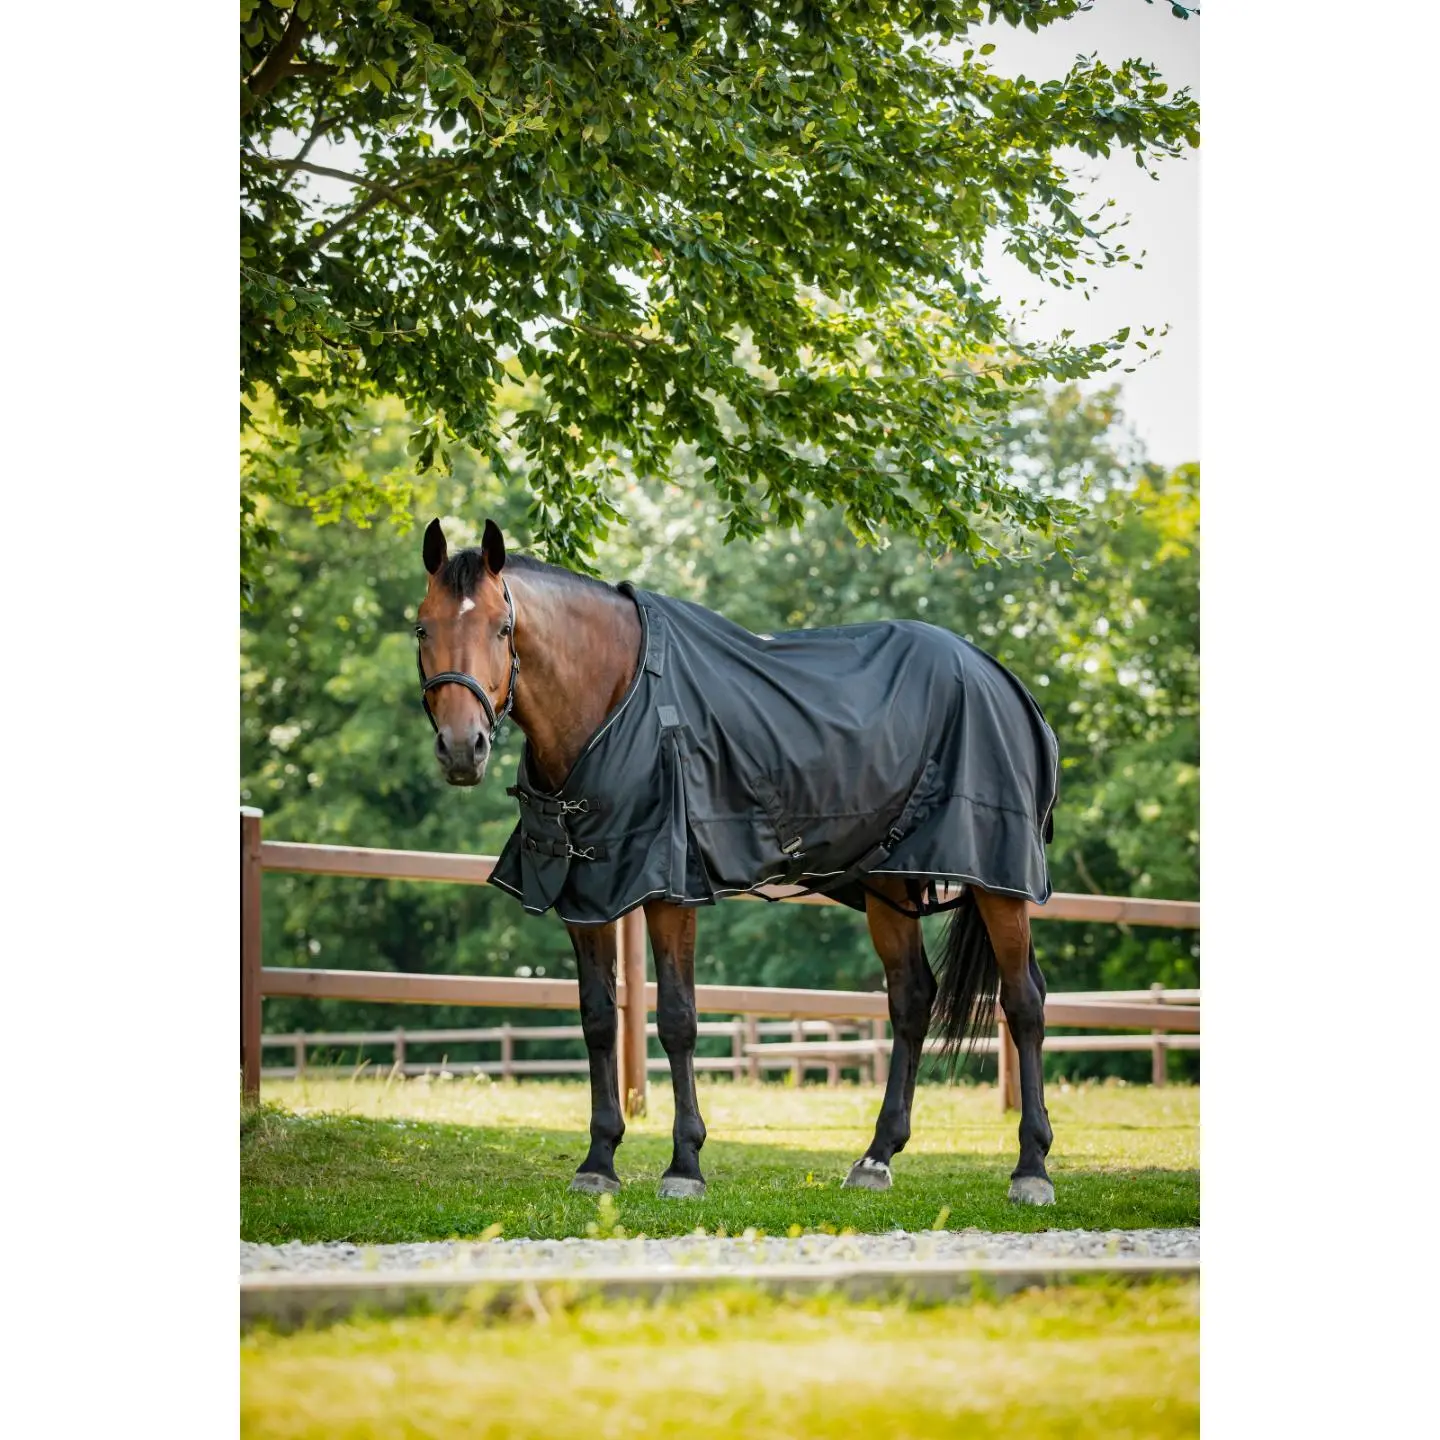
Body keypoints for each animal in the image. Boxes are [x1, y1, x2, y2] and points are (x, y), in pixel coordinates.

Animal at [414, 517, 1058, 1206]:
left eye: (501, 629)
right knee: (911, 998)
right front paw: (599, 1160)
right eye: (423, 627)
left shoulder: (670, 892)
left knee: (1023, 1002)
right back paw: (876, 1158)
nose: (462, 749)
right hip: (889, 884)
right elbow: (598, 1020)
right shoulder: (587, 897)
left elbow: (677, 1019)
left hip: (999, 883)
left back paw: (1031, 1168)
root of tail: (999, 676)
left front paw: (684, 1165)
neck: (619, 698)